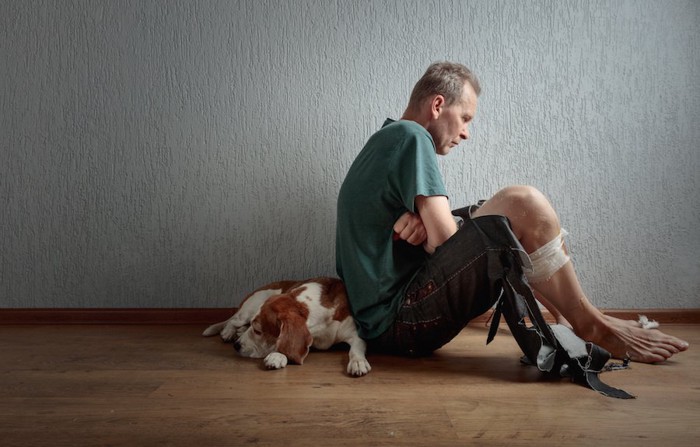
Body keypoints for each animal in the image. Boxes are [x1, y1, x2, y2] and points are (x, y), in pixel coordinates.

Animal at [202, 276, 372, 378]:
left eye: (258, 331)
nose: (236, 346)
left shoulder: (356, 334)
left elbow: (355, 349)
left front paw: (358, 362)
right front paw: (278, 355)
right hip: (250, 308)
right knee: (233, 320)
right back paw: (228, 332)